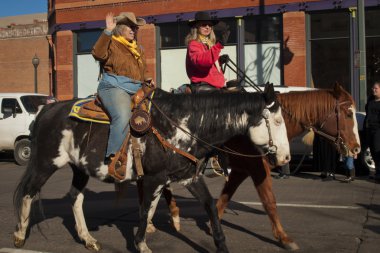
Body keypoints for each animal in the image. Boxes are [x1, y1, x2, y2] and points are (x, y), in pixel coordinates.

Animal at [13, 83, 290, 253]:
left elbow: (209, 206)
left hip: (79, 168)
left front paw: (221, 245)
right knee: (28, 191)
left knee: (75, 198)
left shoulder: (188, 178)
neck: (182, 125)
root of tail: (47, 109)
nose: (286, 157)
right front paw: (141, 244)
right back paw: (19, 235)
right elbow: (146, 208)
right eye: (277, 121)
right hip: (45, 162)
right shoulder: (152, 178)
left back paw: (88, 238)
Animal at [151, 83, 360, 251]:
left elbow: (225, 196)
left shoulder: (241, 170)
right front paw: (284, 238)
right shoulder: (258, 169)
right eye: (349, 114)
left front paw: (212, 223)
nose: (356, 148)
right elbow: (269, 201)